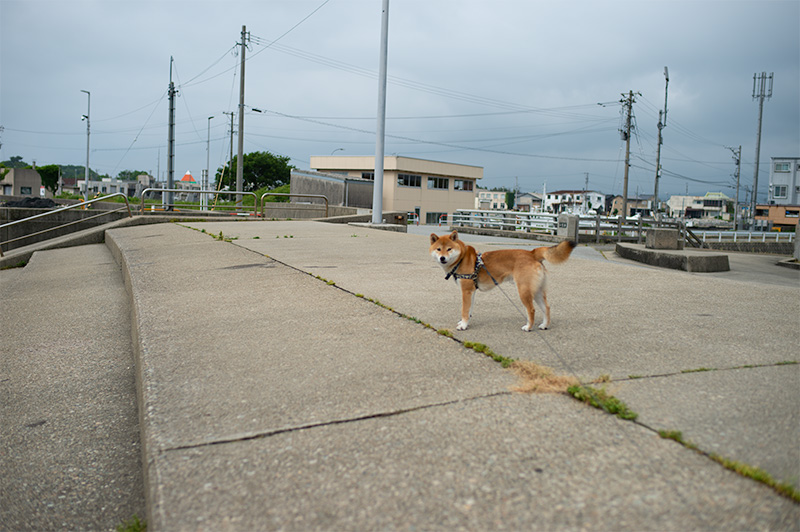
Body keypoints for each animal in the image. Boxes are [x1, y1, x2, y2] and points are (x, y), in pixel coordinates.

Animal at [432, 231, 576, 330]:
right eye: (438, 249)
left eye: (449, 249)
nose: (442, 258)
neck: (461, 258)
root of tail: (532, 253)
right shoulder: (471, 291)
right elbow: (469, 310)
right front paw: (465, 323)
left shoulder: (466, 291)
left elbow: (464, 310)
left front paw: (463, 326)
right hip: (537, 291)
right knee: (546, 308)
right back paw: (545, 325)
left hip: (524, 290)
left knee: (531, 310)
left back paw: (528, 327)